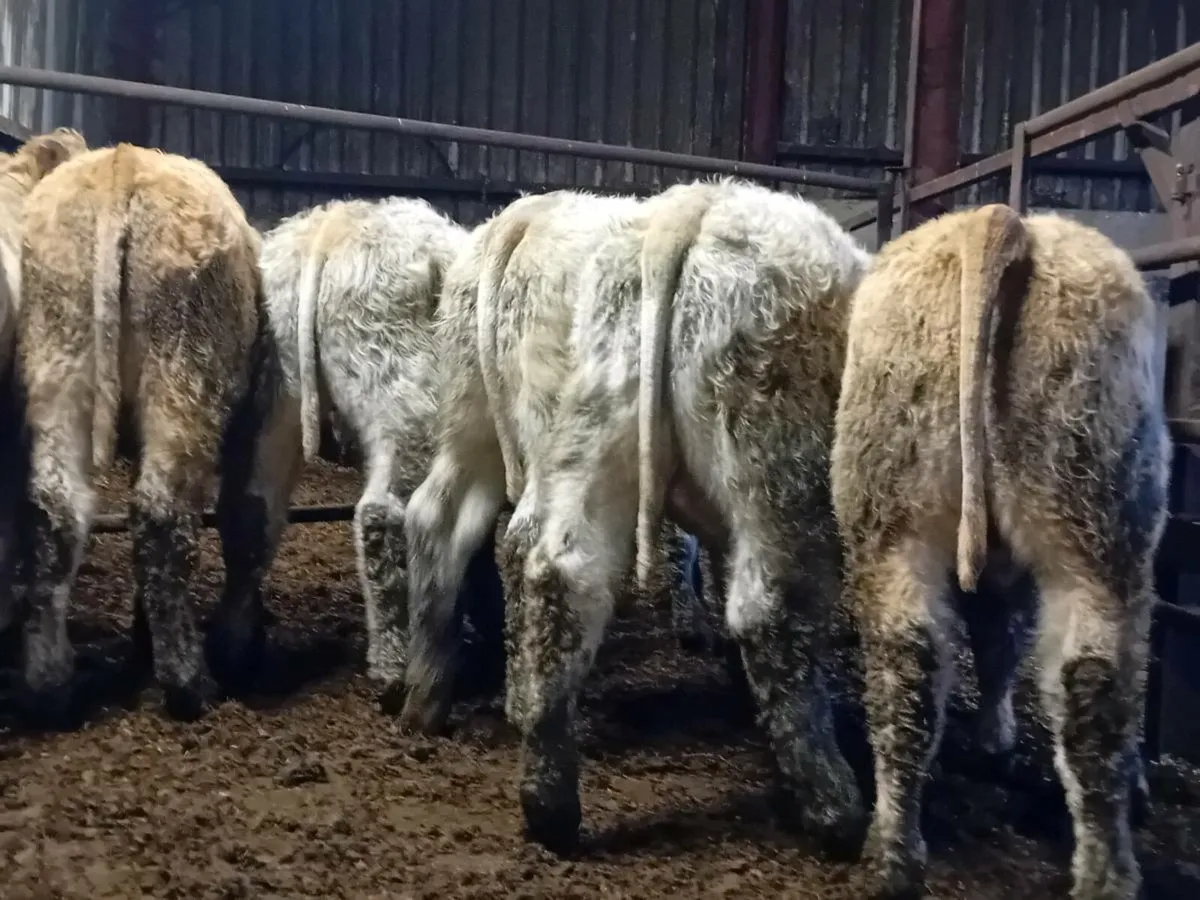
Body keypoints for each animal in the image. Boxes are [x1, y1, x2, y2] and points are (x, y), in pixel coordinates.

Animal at [12, 143, 291, 725]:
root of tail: (123, 165)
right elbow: (249, 523)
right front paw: (237, 645)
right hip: (183, 375)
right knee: (162, 517)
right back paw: (188, 682)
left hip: (58, 358)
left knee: (57, 512)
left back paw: (49, 684)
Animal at [402, 179, 873, 856]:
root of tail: (694, 208)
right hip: (780, 463)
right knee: (772, 609)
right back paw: (833, 807)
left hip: (522, 419)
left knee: (491, 541)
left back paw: (452, 711)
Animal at [830, 204, 1168, 900]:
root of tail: (1001, 218)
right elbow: (1005, 639)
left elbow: (993, 635)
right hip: (1103, 524)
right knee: (1095, 678)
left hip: (898, 510)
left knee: (914, 663)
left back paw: (894, 855)